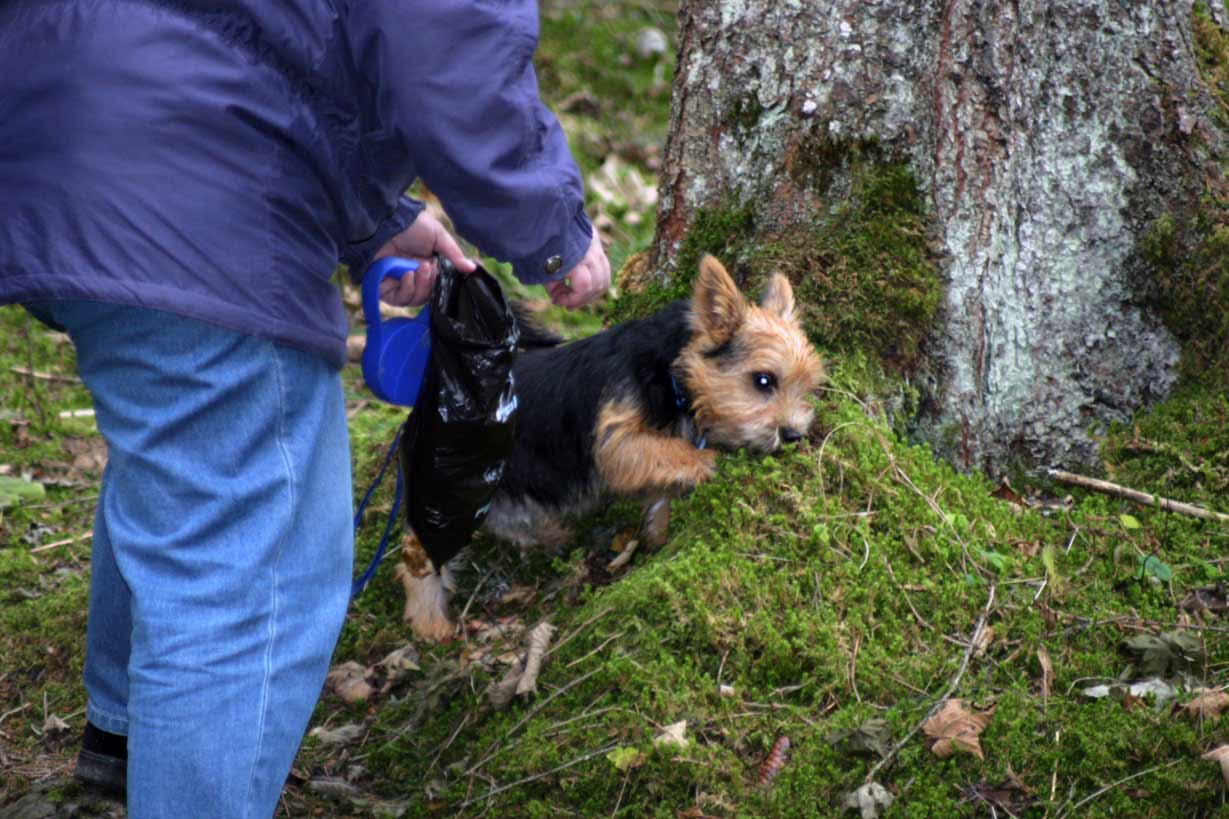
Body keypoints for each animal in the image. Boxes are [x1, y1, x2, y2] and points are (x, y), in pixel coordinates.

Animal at [395, 253, 825, 639]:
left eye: (809, 386)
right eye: (763, 380)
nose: (794, 435)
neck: (673, 370)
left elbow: (660, 493)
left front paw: (656, 536)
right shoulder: (619, 442)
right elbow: (674, 453)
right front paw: (711, 462)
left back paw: (551, 534)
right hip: (451, 494)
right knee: (416, 550)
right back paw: (430, 622)